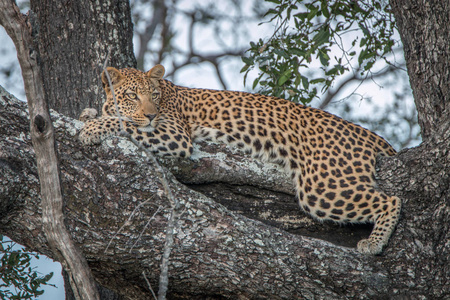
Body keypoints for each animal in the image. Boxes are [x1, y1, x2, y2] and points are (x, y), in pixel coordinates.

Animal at [79, 64, 402, 254]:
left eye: (154, 95)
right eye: (132, 95)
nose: (150, 114)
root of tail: (366, 134)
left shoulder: (174, 133)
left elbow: (125, 124)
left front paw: (91, 128)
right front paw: (89, 114)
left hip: (323, 187)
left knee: (392, 199)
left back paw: (374, 242)